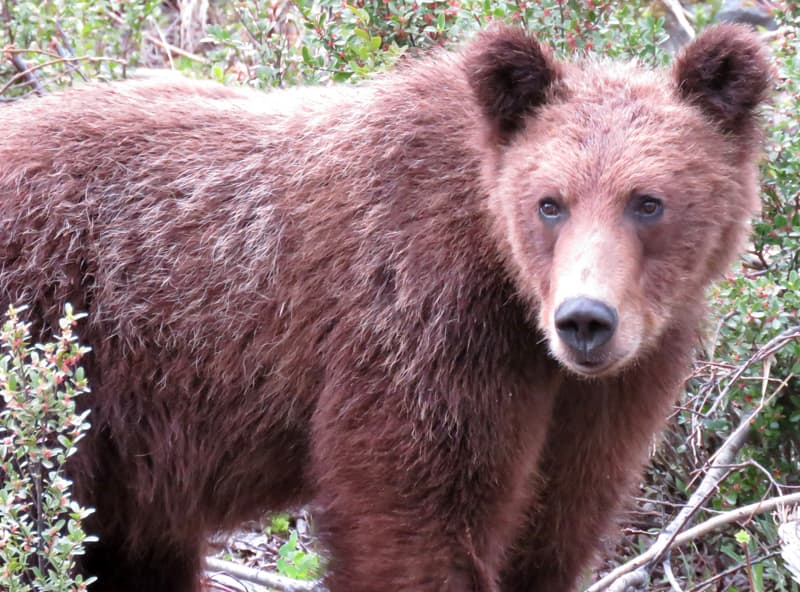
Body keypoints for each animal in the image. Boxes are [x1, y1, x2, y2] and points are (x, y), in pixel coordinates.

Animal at [0, 24, 768, 592]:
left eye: (648, 201)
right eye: (551, 202)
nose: (585, 319)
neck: (511, 286)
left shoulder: (610, 393)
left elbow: (555, 527)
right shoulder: (421, 319)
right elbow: (415, 515)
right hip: (50, 346)